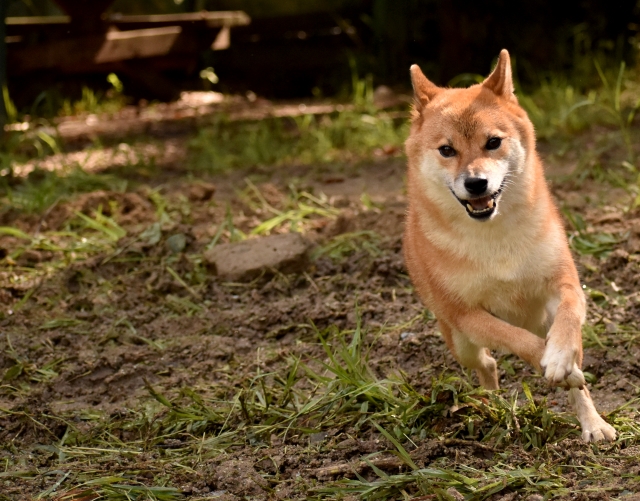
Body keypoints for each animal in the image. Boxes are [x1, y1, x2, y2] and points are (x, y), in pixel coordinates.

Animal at [402, 49, 616, 442]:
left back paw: (593, 423)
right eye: (446, 150)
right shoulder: (467, 315)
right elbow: (516, 340)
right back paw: (492, 401)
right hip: (459, 340)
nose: (476, 183)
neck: (494, 237)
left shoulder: (564, 285)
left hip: (539, 320)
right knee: (486, 362)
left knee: (573, 376)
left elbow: (568, 321)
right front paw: (548, 362)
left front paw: (559, 359)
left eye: (493, 142)